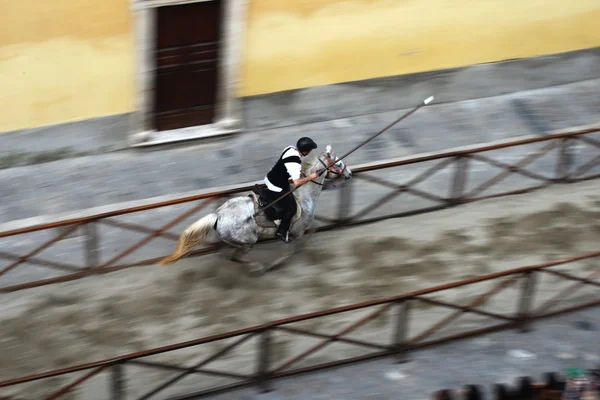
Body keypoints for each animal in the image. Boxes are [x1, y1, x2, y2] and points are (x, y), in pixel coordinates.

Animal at [159, 144, 352, 276]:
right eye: (338, 163)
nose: (349, 173)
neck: (303, 196)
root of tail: (218, 215)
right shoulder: (298, 230)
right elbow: (296, 246)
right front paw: (277, 264)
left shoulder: (305, 226)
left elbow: (315, 227)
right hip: (248, 241)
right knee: (235, 257)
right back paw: (256, 267)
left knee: (227, 254)